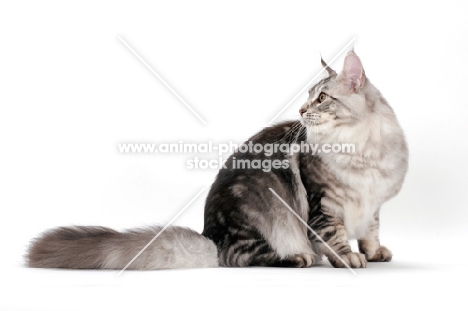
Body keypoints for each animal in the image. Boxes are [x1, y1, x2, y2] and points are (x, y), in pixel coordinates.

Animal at [29, 51, 408, 270]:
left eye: (322, 98)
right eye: (308, 98)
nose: (301, 110)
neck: (363, 148)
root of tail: (210, 235)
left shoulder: (373, 205)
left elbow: (371, 231)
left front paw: (374, 252)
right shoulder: (323, 205)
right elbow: (335, 237)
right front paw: (348, 258)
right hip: (259, 214)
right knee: (244, 257)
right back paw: (298, 257)